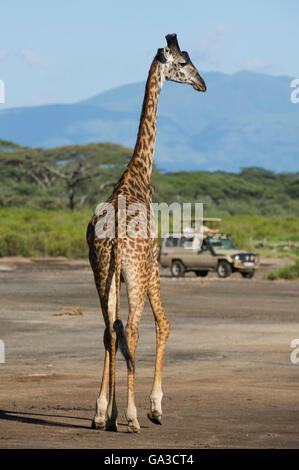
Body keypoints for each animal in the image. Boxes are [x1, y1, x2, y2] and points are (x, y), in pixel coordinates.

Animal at [86, 33, 206, 434]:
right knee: (134, 329)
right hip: (136, 275)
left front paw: (103, 411)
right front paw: (153, 407)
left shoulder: (118, 274)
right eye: (183, 63)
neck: (139, 171)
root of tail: (114, 239)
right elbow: (163, 325)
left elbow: (113, 332)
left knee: (110, 330)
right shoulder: (153, 264)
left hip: (102, 273)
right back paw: (133, 417)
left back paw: (104, 415)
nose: (202, 84)